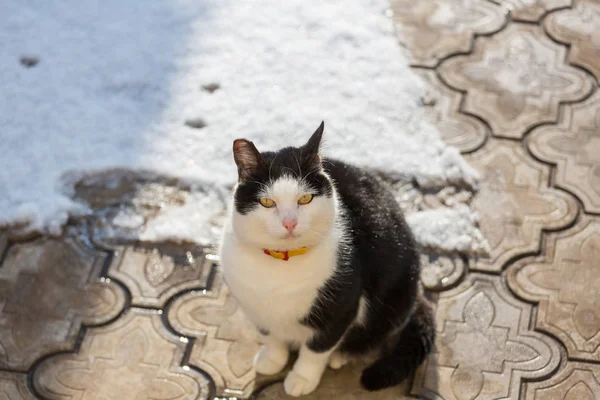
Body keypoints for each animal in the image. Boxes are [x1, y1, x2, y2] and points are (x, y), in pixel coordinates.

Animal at [218, 122, 434, 396]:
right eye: (267, 202)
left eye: (305, 199)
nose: (290, 223)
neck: (282, 262)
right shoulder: (253, 306)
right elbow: (270, 335)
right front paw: (272, 359)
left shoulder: (342, 306)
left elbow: (317, 347)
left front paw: (301, 378)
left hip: (397, 293)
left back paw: (341, 356)